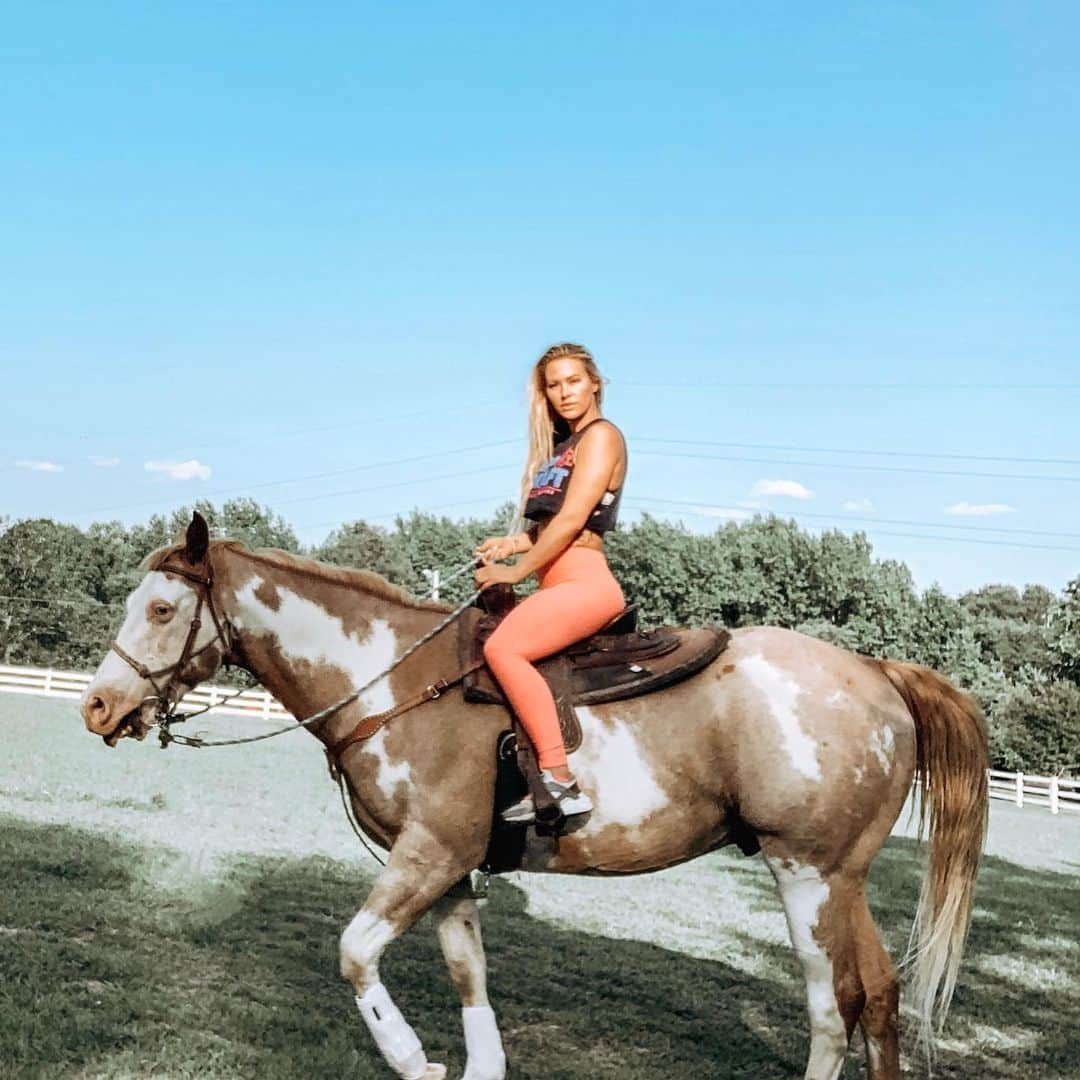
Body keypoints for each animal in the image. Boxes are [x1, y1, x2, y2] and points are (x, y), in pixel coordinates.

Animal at [78, 514, 989, 1080]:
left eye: (161, 608)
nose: (97, 706)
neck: (393, 683)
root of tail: (877, 672)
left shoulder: (431, 852)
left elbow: (354, 951)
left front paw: (411, 1057)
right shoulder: (448, 868)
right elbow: (468, 973)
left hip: (806, 875)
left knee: (834, 1007)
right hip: (846, 880)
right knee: (880, 995)